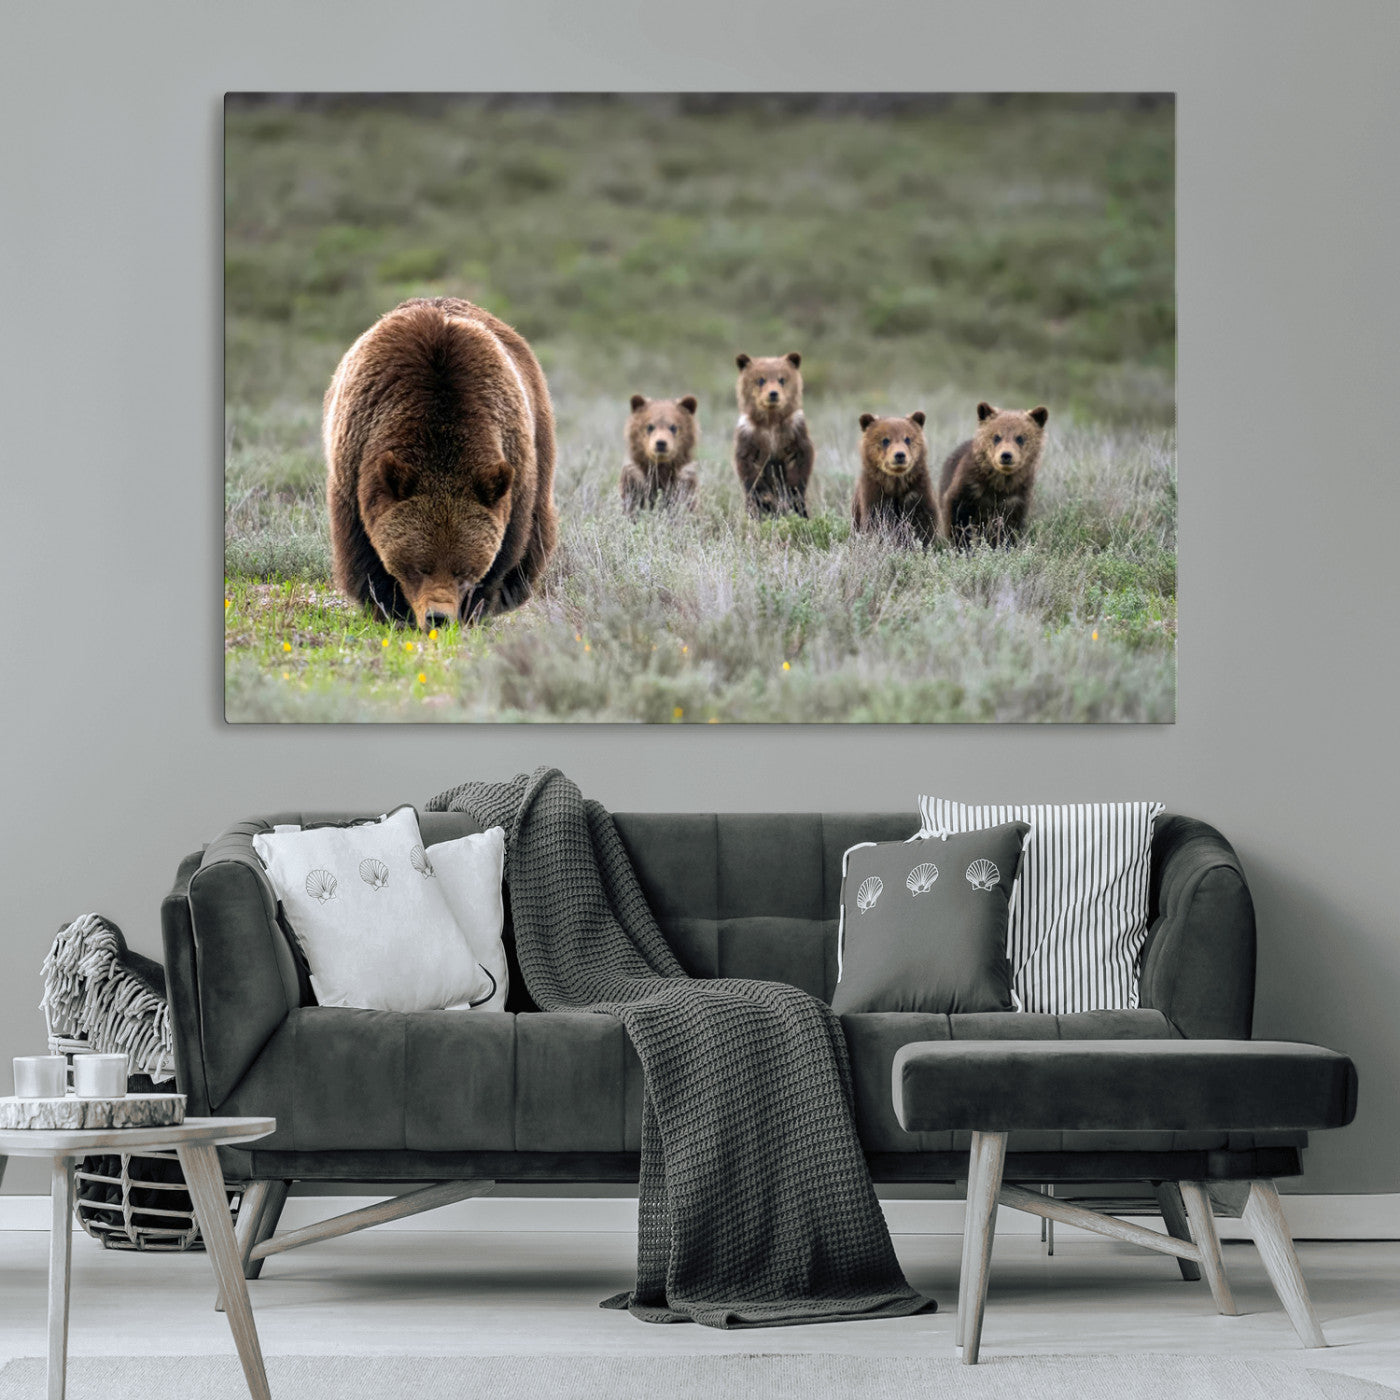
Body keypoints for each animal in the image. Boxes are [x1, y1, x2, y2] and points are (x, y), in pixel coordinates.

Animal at [323, 296, 558, 630]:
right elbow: (362, 551)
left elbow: (507, 549)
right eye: (419, 566)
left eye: (463, 569)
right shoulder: (356, 463)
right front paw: (390, 608)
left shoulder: (513, 466)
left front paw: (475, 609)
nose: (438, 617)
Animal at [732, 351, 814, 517]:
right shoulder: (749, 435)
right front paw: (766, 499)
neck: (771, 423)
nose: (773, 393)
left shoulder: (794, 431)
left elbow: (800, 462)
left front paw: (791, 496)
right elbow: (749, 468)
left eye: (782, 379)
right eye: (760, 379)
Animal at [851, 411, 941, 546]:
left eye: (907, 439)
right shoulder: (874, 495)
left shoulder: (917, 492)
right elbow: (876, 522)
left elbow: (923, 524)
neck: (896, 483)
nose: (900, 455)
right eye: (885, 440)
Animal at [939, 402, 1049, 548]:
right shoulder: (969, 488)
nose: (1006, 455)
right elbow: (957, 517)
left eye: (1020, 438)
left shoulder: (1016, 497)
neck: (999, 483)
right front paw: (962, 545)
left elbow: (1010, 527)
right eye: (996, 436)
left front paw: (1004, 545)